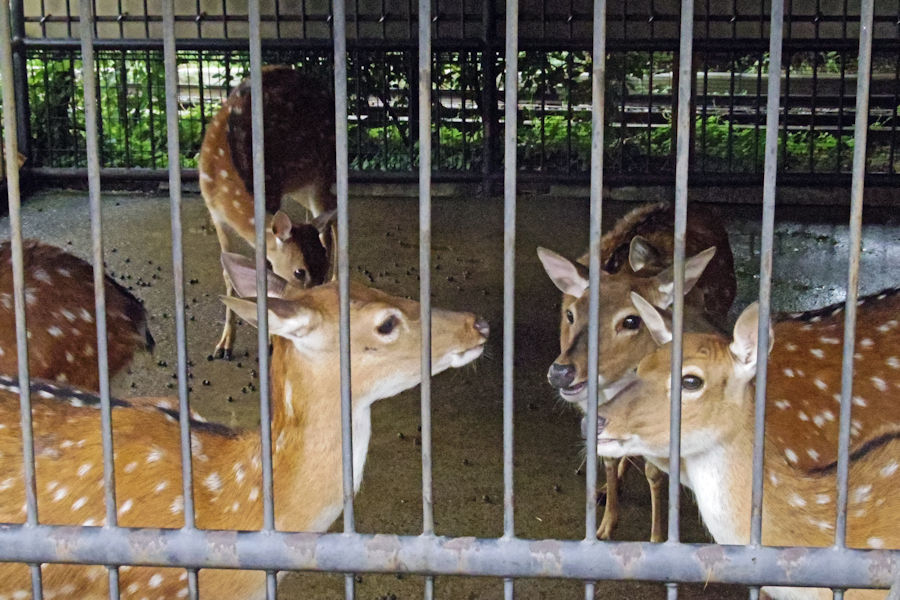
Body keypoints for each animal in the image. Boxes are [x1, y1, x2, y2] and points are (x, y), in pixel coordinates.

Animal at [200, 64, 338, 360]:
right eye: (299, 272)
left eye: (319, 268)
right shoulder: (215, 214)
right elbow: (229, 273)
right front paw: (224, 345)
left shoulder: (272, 192)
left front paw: (272, 342)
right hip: (301, 185)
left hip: (324, 171)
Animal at [536, 202, 736, 544]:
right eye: (571, 314)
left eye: (631, 320)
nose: (561, 372)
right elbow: (608, 455)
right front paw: (605, 524)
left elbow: (654, 470)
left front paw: (656, 537)